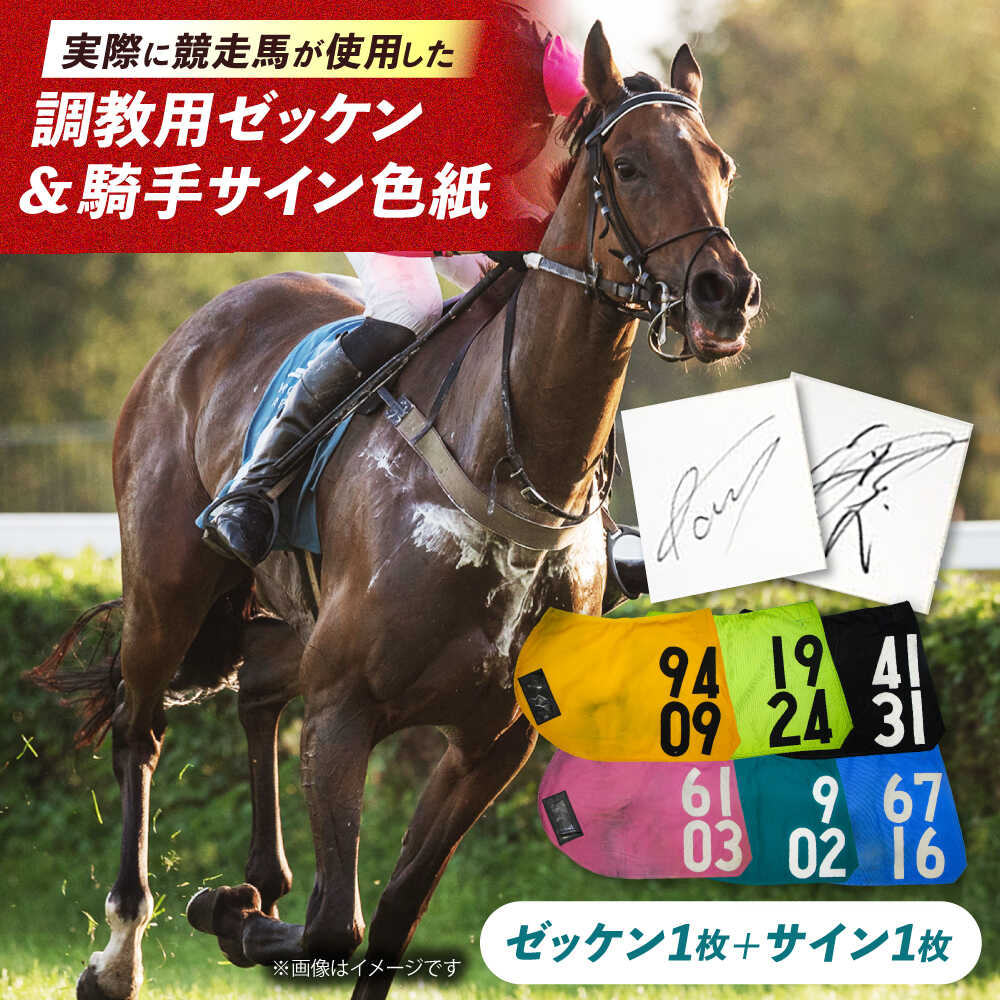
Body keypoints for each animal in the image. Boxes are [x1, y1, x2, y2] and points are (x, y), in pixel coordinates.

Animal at [32, 23, 760, 1000]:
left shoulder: (493, 742)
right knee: (139, 731)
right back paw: (122, 950)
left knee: (257, 689)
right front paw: (225, 912)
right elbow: (335, 925)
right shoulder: (345, 709)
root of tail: (198, 327)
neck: (507, 474)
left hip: (290, 619)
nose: (727, 292)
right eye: (631, 165)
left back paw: (259, 876)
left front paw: (249, 903)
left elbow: (391, 917)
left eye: (720, 164)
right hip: (166, 586)